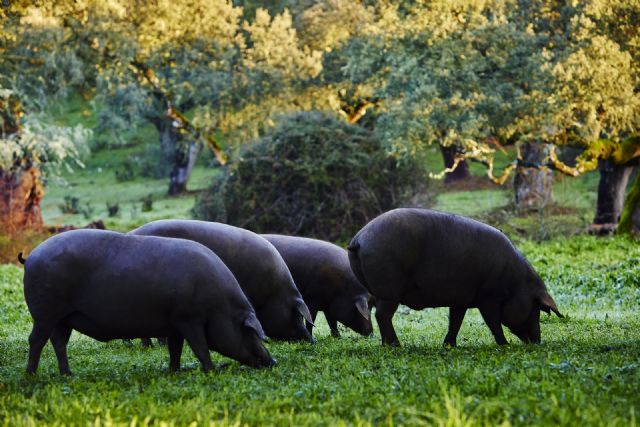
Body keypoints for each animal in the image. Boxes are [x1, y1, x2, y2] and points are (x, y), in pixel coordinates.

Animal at [19, 231, 276, 374]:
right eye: (248, 330)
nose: (272, 361)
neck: (220, 306)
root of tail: (31, 256)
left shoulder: (175, 324)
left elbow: (175, 349)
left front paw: (174, 372)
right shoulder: (189, 319)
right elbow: (200, 347)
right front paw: (211, 371)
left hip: (63, 317)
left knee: (58, 342)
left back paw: (68, 374)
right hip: (45, 313)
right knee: (37, 340)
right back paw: (31, 375)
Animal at [348, 208, 564, 348]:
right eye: (536, 308)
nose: (537, 341)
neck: (515, 283)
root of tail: (360, 238)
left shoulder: (461, 299)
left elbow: (456, 321)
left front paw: (449, 345)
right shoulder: (488, 297)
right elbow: (493, 322)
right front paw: (505, 345)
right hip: (389, 291)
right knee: (382, 315)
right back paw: (395, 345)